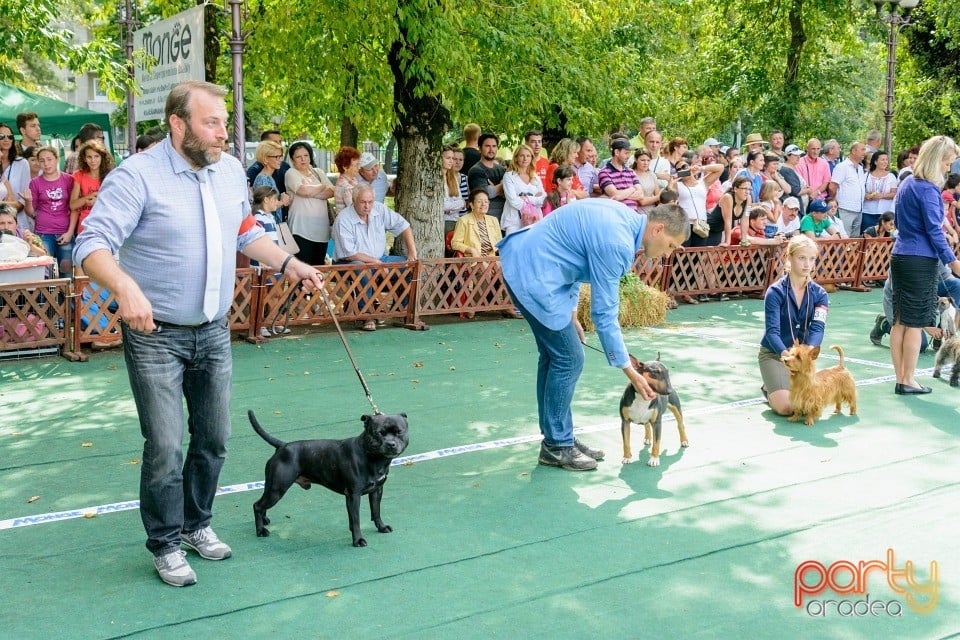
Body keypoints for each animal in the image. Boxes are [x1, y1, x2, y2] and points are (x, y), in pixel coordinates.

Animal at [248, 410, 408, 544]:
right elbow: (356, 520)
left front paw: (381, 527)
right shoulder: (353, 495)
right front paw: (358, 540)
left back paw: (264, 520)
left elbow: (376, 511)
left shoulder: (377, 490)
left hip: (272, 487)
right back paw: (260, 530)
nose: (391, 444)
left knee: (262, 504)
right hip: (277, 489)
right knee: (257, 505)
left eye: (399, 432)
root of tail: (282, 446)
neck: (373, 458)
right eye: (379, 433)